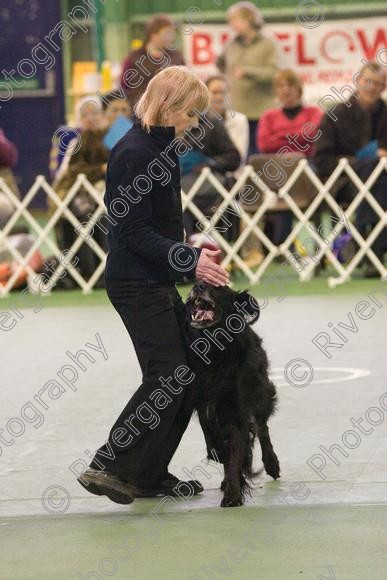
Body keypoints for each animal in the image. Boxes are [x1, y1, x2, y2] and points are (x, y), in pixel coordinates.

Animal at [183, 282, 280, 508]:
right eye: (197, 281)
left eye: (218, 287)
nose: (198, 285)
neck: (215, 349)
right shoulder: (204, 406)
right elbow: (216, 445)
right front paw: (228, 477)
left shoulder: (236, 410)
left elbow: (236, 450)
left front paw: (233, 495)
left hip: (261, 391)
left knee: (262, 426)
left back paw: (272, 463)